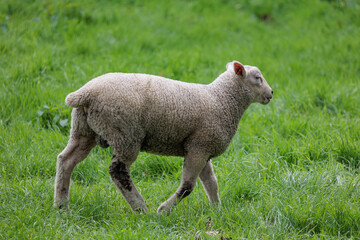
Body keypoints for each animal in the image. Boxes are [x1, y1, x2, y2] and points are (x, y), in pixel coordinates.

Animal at [53, 61, 272, 215]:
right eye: (257, 77)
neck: (222, 99)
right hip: (125, 134)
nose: (271, 93)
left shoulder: (203, 148)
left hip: (83, 129)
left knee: (66, 160)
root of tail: (85, 93)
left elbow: (211, 183)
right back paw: (141, 209)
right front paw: (164, 210)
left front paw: (217, 210)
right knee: (118, 171)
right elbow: (188, 186)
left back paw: (61, 207)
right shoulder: (199, 147)